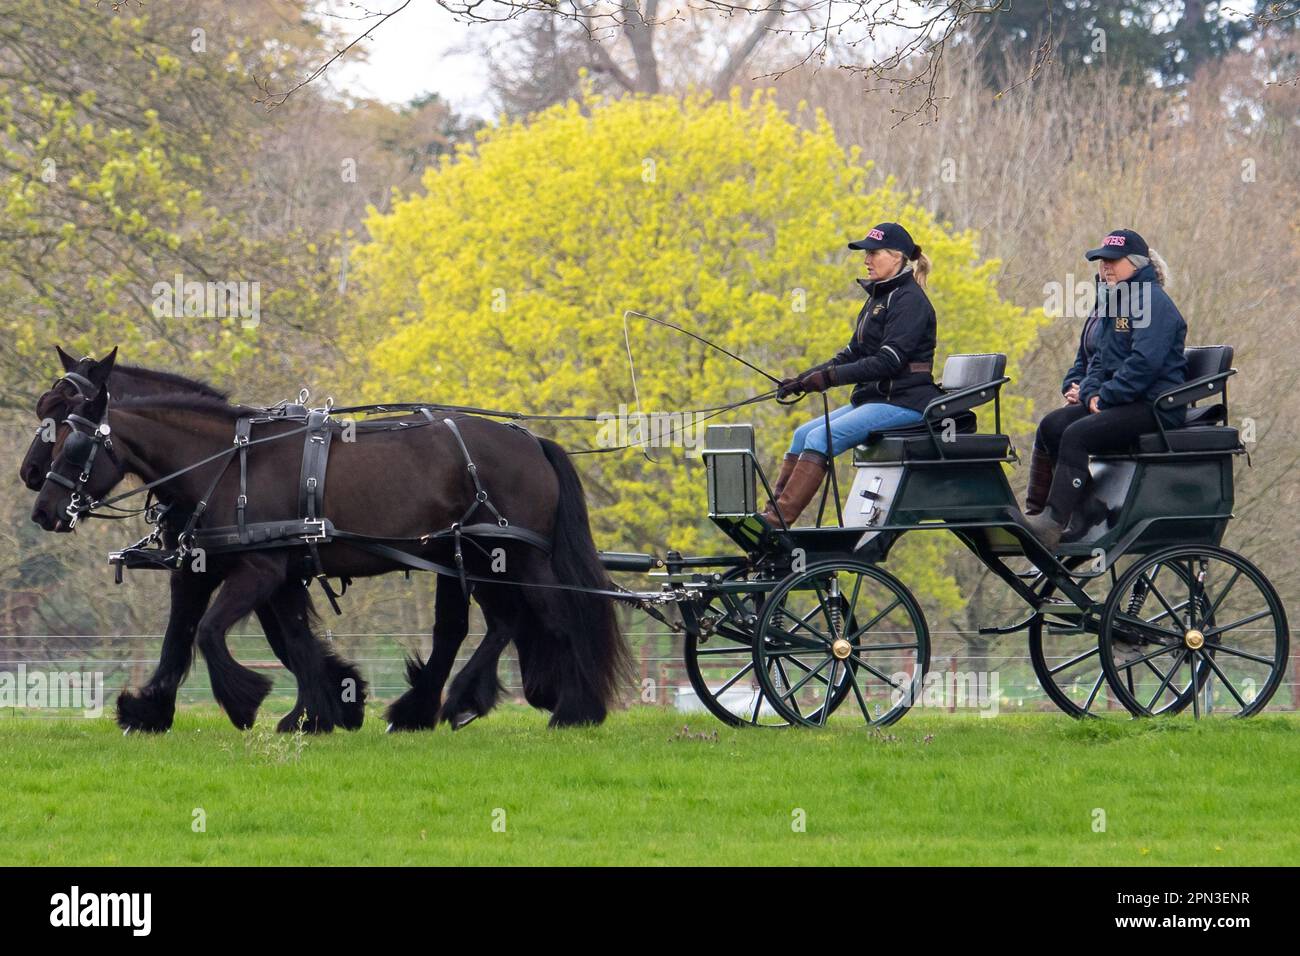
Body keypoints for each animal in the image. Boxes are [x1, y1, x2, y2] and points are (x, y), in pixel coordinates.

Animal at [29, 356, 629, 728]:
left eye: (71, 441)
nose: (40, 504)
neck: (226, 463)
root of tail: (532, 441)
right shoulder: (219, 568)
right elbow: (237, 639)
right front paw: (319, 710)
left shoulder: (260, 570)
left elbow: (211, 634)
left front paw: (251, 703)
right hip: (474, 555)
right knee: (497, 623)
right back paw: (437, 706)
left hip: (514, 553)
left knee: (559, 615)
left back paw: (573, 708)